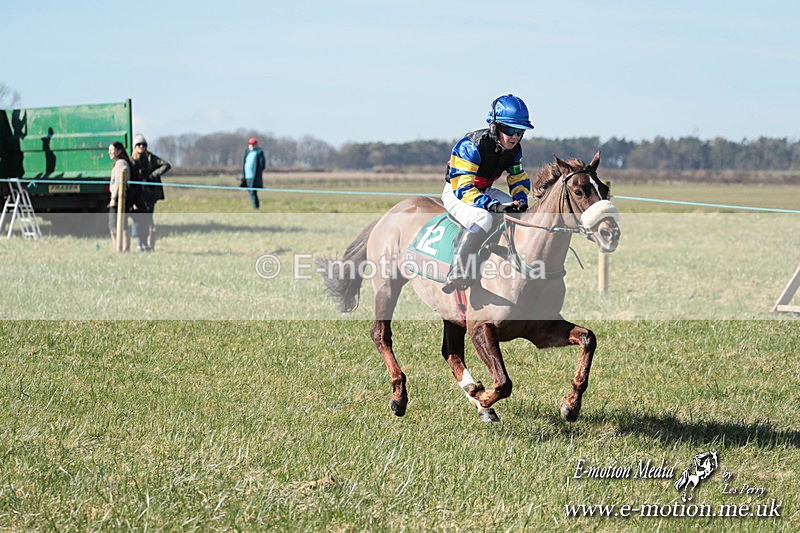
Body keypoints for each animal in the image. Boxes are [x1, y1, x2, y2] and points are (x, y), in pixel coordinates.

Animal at [317, 152, 621, 422]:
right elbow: (503, 382)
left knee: (451, 353)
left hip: (451, 310)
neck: (526, 261)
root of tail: (389, 214)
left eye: (605, 189)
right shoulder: (480, 328)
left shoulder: (540, 329)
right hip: (388, 285)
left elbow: (588, 339)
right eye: (579, 191)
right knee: (381, 335)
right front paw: (483, 396)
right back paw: (400, 396)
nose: (611, 233)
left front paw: (571, 404)